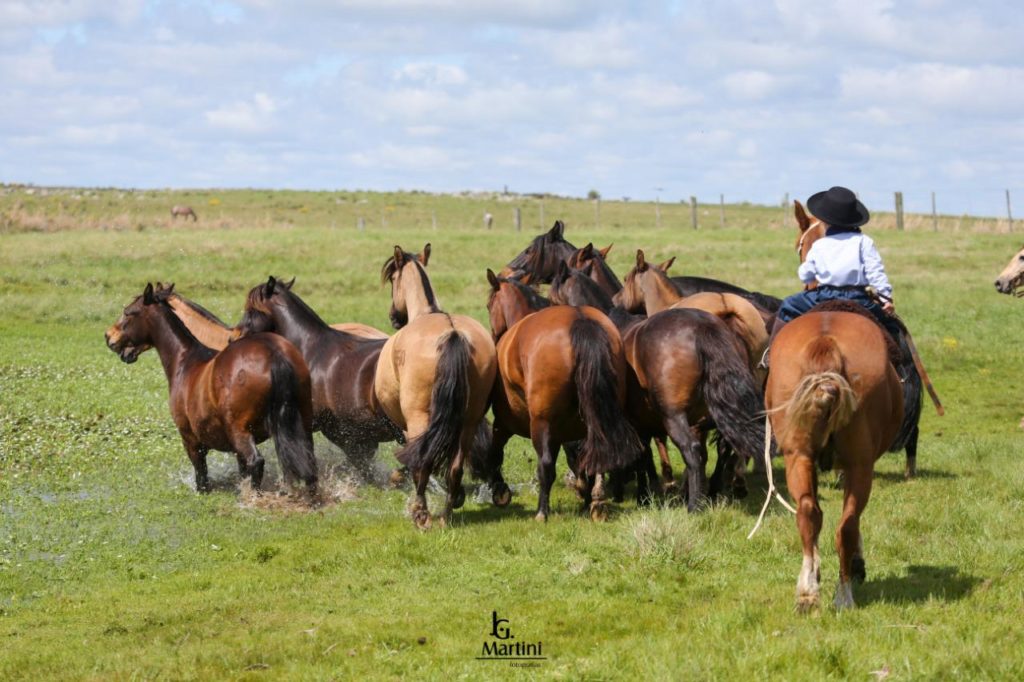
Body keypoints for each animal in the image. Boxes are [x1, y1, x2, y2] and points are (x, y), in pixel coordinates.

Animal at [104, 283, 318, 496]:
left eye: (128, 312)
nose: (109, 337)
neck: (185, 361)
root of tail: (273, 354)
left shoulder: (190, 439)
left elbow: (201, 473)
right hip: (301, 426)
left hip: (240, 432)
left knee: (256, 462)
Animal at [378, 244, 497, 528]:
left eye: (393, 280)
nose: (394, 318)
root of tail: (452, 333)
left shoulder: (407, 425)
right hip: (469, 420)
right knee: (455, 466)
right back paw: (446, 514)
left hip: (419, 417)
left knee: (423, 461)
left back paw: (421, 514)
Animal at [485, 270, 642, 520]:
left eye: (489, 305)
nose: (493, 337)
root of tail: (582, 322)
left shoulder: (504, 422)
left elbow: (495, 453)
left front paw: (500, 491)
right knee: (595, 455)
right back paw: (594, 502)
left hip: (541, 423)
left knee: (546, 465)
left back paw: (543, 512)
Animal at [766, 310, 903, 611]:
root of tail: (826, 342)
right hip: (859, 465)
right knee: (848, 524)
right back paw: (844, 594)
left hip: (799, 456)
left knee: (809, 512)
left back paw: (808, 592)